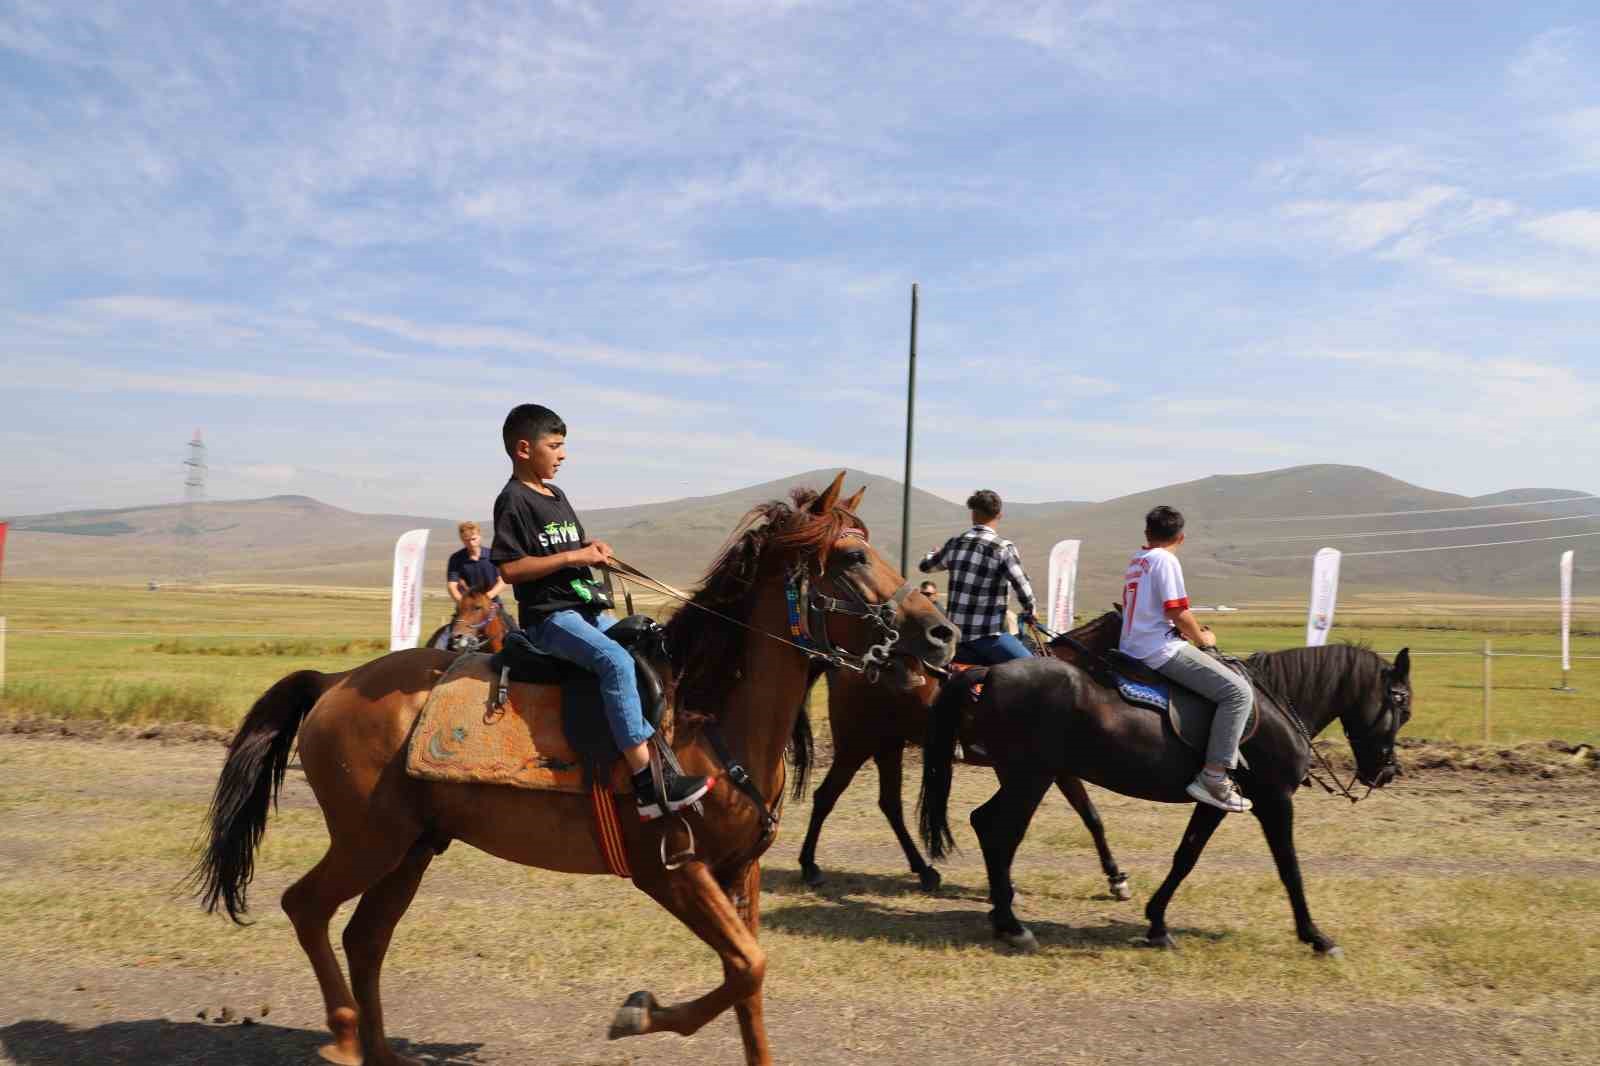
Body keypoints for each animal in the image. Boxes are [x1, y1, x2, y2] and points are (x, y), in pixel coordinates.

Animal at [193, 473, 953, 1062]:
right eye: (852, 555)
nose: (941, 632)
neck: (704, 715)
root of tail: (335, 682)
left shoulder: (743, 870)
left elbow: (750, 986)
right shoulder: (671, 869)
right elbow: (747, 966)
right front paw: (637, 1012)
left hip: (412, 847)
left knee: (364, 937)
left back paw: (382, 1051)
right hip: (369, 840)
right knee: (307, 907)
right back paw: (347, 1036)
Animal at [921, 605, 1408, 953]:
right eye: (1401, 703)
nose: (1386, 771)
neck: (1278, 705)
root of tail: (990, 673)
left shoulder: (1217, 802)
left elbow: (1185, 857)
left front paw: (1156, 921)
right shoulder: (1274, 800)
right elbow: (1289, 866)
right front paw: (1315, 935)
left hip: (1022, 776)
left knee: (986, 824)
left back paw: (1001, 914)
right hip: (1031, 778)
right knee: (1001, 832)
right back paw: (1012, 925)